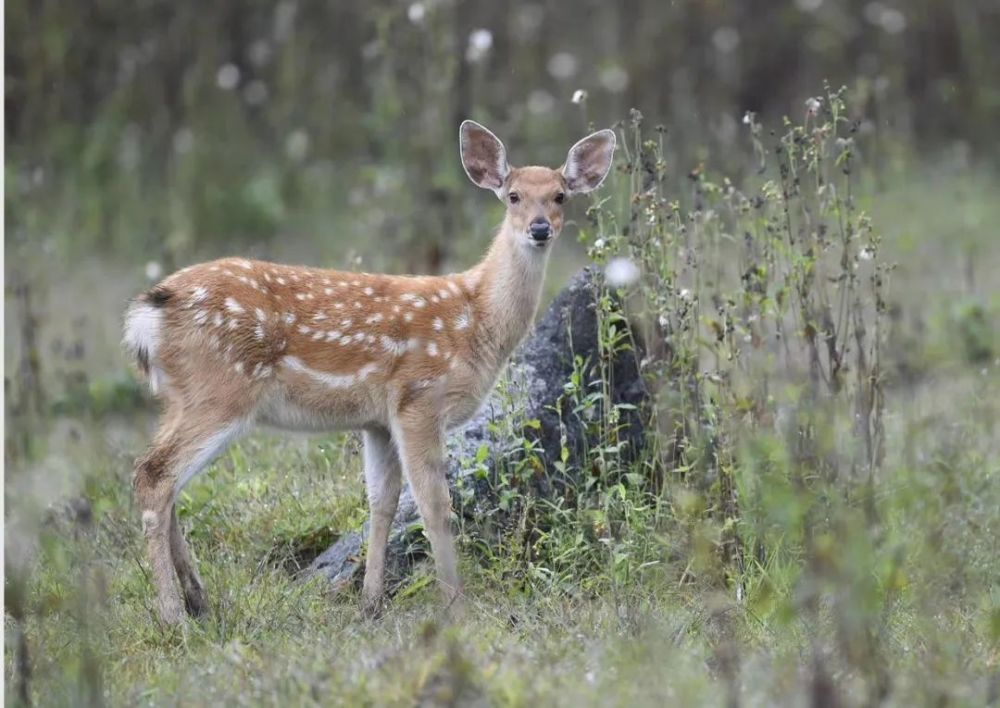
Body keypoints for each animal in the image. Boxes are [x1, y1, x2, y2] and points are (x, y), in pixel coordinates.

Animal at [125, 121, 616, 624]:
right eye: (513, 195)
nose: (539, 229)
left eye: (560, 196)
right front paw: (455, 603)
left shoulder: (378, 420)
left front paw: (371, 601)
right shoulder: (419, 397)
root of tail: (148, 315)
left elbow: (382, 501)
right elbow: (434, 504)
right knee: (154, 475)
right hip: (221, 391)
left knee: (165, 480)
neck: (475, 318)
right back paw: (173, 614)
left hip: (182, 397)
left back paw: (199, 600)